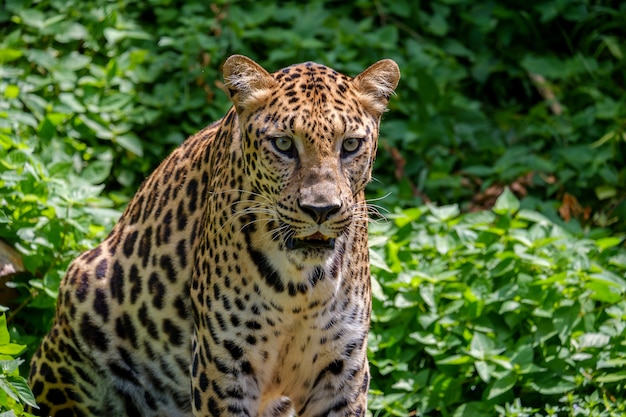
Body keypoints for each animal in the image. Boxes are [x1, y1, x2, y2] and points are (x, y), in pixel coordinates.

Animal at [26, 55, 398, 416]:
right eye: (283, 144)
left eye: (350, 145)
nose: (321, 210)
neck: (299, 289)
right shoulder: (223, 365)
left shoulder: (342, 370)